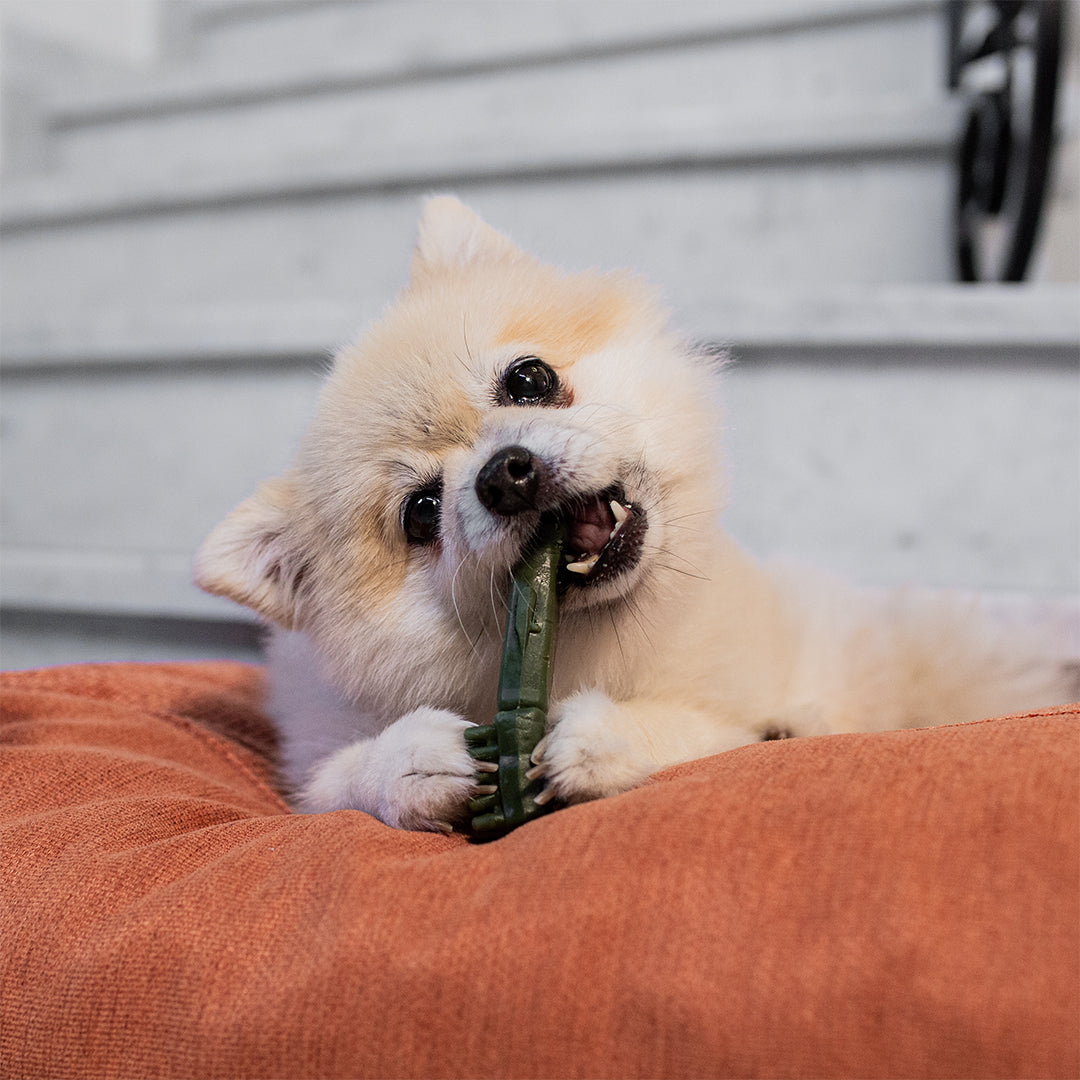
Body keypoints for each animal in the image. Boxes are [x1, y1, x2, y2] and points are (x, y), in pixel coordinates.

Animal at [196, 196, 1071, 833]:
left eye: (529, 379)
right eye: (420, 513)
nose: (505, 475)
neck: (600, 643)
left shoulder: (731, 715)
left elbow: (702, 730)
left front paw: (607, 737)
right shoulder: (312, 752)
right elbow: (339, 779)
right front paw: (413, 760)